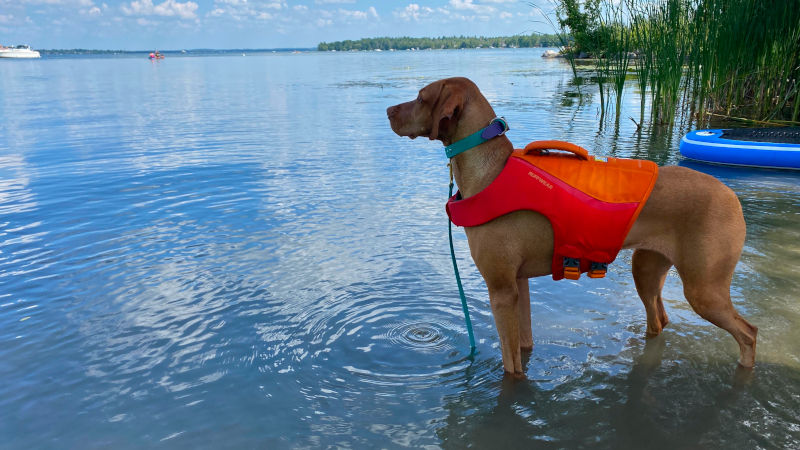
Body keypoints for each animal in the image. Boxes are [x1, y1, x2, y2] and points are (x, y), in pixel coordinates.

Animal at [386, 77, 756, 376]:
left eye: (421, 97)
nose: (388, 110)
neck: (491, 170)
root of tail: (730, 194)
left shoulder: (501, 291)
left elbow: (511, 365)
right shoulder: (519, 284)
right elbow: (523, 343)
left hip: (704, 289)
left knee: (748, 333)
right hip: (647, 268)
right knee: (659, 320)